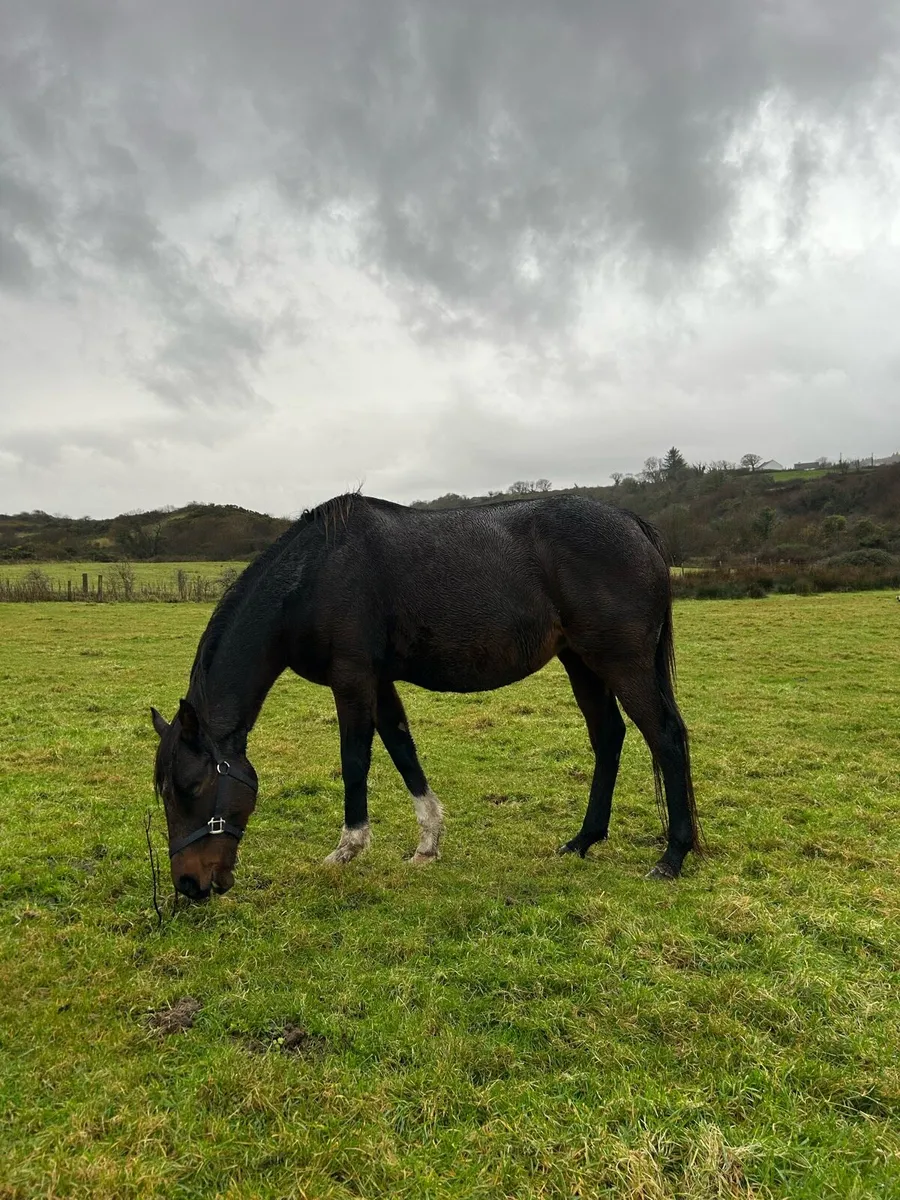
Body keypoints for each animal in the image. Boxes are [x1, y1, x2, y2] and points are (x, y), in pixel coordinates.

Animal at [151, 492, 702, 901]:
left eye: (190, 787)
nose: (189, 885)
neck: (314, 575)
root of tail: (635, 526)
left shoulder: (352, 680)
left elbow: (356, 760)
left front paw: (347, 849)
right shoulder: (379, 683)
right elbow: (403, 751)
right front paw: (427, 845)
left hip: (622, 663)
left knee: (666, 738)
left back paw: (673, 856)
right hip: (581, 663)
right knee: (609, 738)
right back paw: (584, 840)